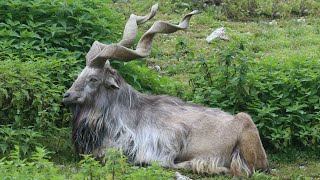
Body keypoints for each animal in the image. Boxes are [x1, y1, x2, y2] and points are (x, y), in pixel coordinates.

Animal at [63, 4, 268, 177]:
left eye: (93, 78)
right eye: (81, 74)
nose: (67, 95)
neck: (126, 114)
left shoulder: (164, 143)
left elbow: (161, 162)